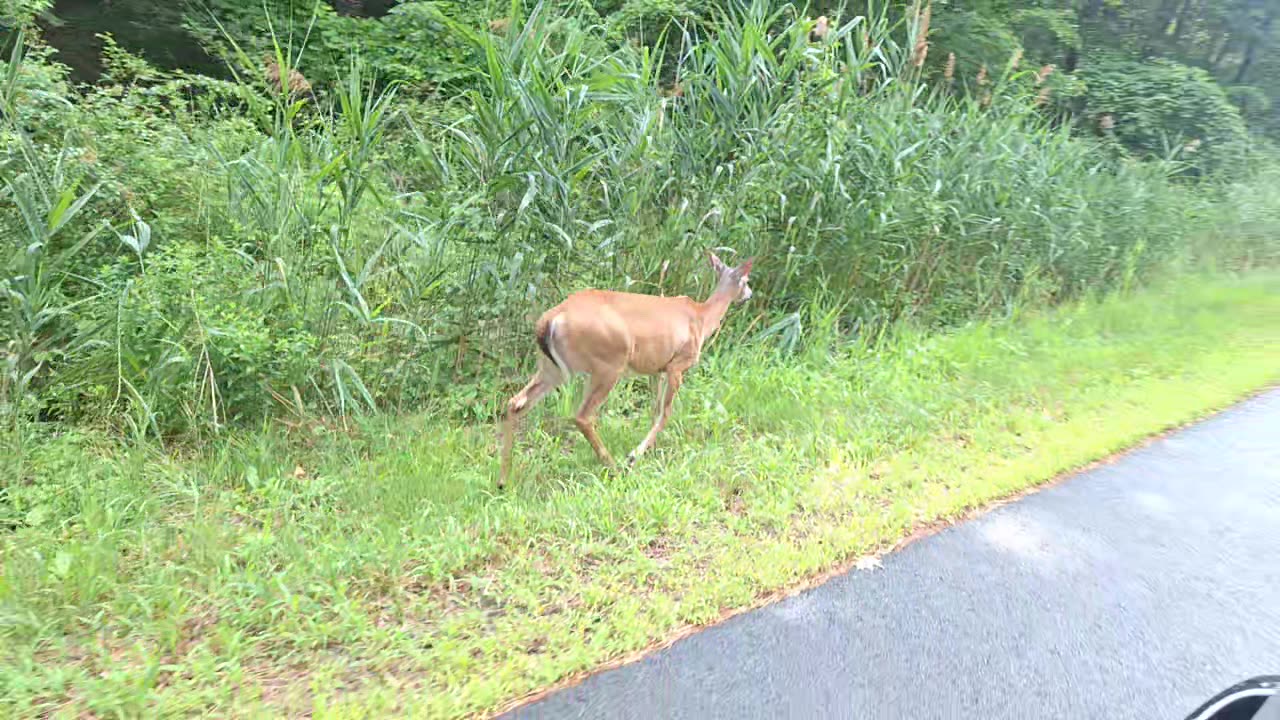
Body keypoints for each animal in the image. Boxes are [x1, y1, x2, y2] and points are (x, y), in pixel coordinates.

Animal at [498, 251, 755, 489]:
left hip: (552, 367)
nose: (749, 295)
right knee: (582, 415)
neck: (702, 318)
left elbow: (654, 410)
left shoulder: (657, 370)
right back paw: (613, 466)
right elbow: (666, 413)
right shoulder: (678, 364)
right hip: (608, 364)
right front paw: (635, 455)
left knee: (516, 402)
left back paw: (504, 479)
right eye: (746, 280)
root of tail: (550, 320)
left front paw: (651, 451)